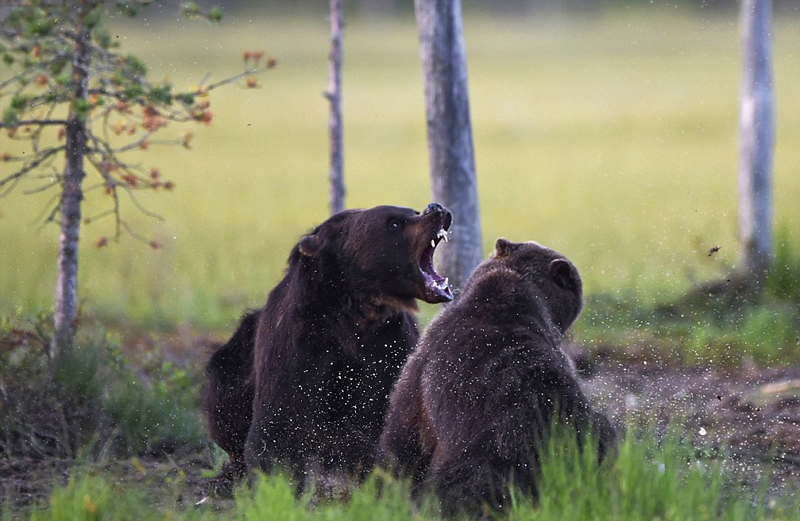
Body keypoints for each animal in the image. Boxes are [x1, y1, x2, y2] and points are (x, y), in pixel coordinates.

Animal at [203, 203, 454, 492]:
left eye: (411, 211)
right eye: (393, 222)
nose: (436, 208)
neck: (358, 312)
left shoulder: (388, 345)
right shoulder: (301, 348)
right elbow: (277, 428)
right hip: (235, 358)